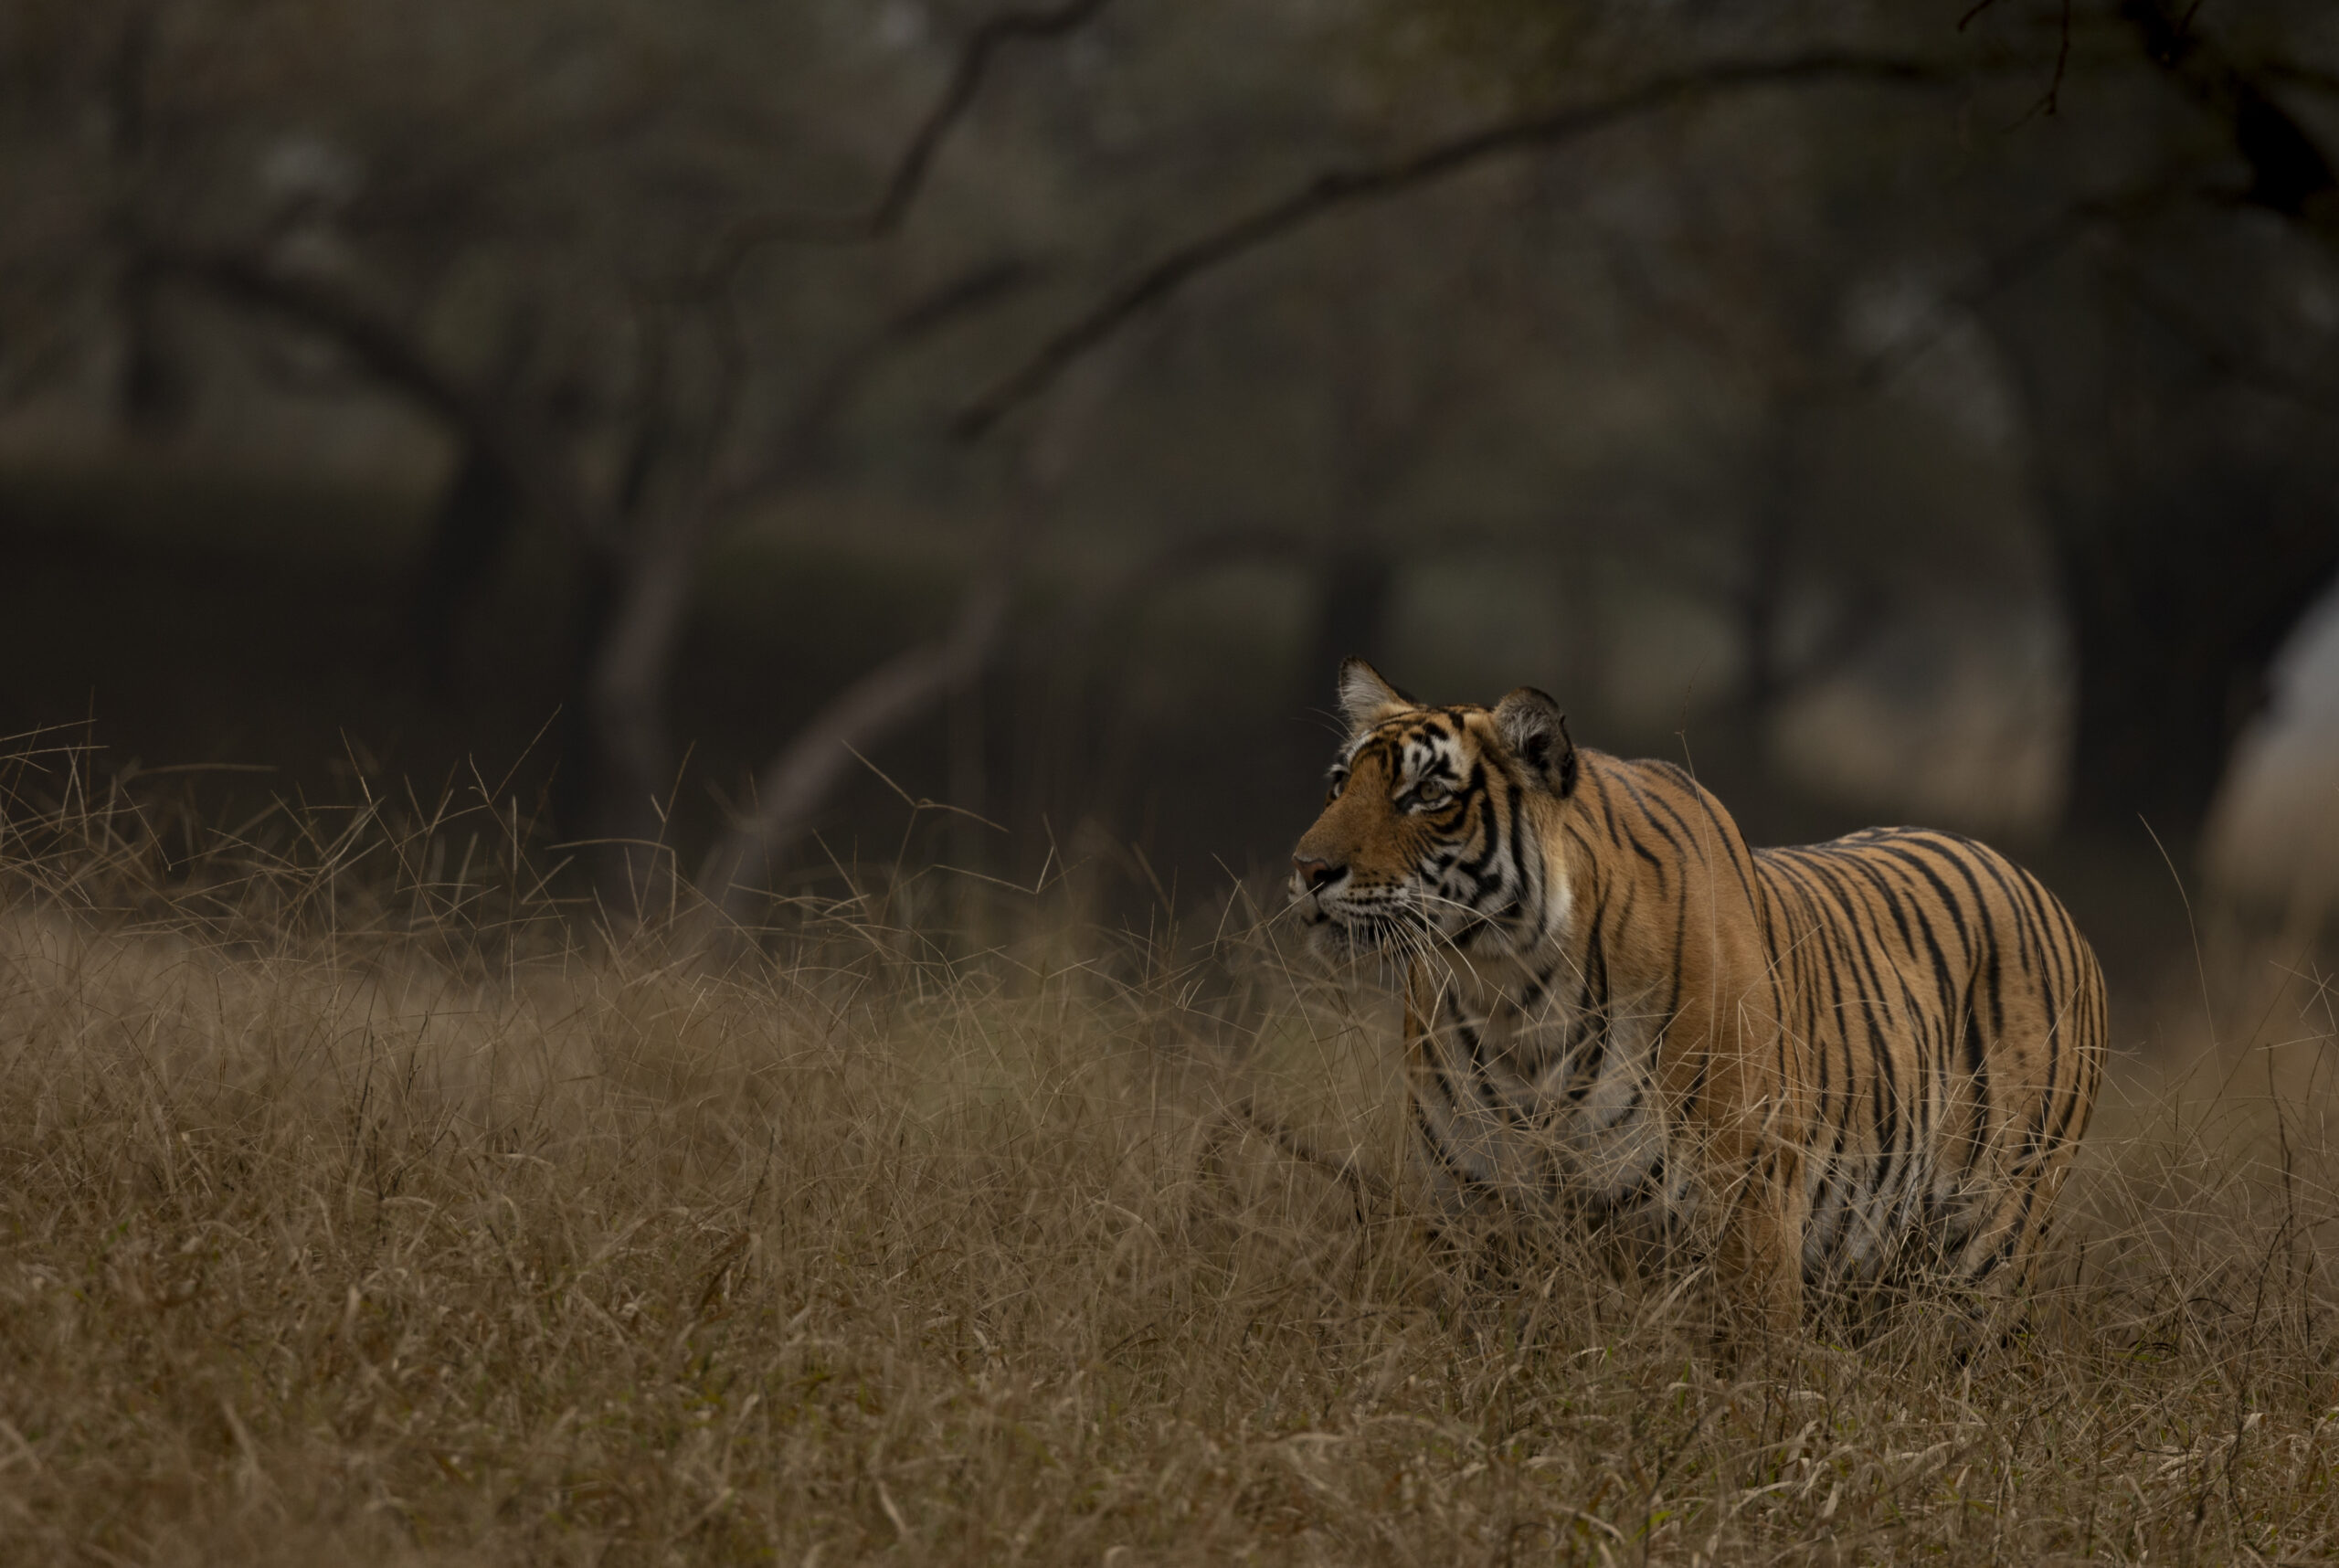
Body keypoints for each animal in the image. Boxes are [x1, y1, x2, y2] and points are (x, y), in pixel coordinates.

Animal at [1289, 658, 2107, 1334]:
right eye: (1338, 783)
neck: (1512, 999)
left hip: (1987, 1241)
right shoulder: (1477, 1214)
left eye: (1428, 793)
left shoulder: (1748, 1210)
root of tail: (2043, 891)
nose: (1308, 870)